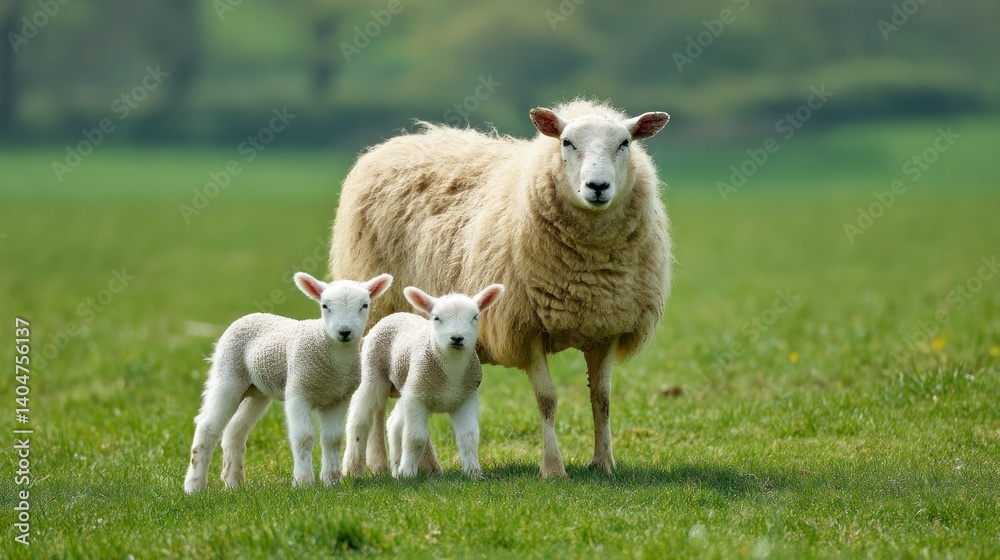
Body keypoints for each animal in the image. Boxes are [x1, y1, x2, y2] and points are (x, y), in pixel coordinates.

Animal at [183, 272, 393, 493]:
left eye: (365, 305)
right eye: (325, 306)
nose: (344, 332)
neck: (335, 364)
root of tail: (250, 315)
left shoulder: (338, 398)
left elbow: (332, 439)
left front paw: (331, 481)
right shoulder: (297, 391)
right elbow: (303, 437)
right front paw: (304, 482)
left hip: (257, 391)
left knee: (235, 430)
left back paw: (234, 483)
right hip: (228, 375)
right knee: (207, 427)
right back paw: (194, 485)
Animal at [343, 284, 505, 479]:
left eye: (475, 317)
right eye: (436, 318)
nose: (457, 338)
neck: (451, 373)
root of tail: (395, 315)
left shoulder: (466, 398)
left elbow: (469, 435)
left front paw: (473, 472)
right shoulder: (416, 398)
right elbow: (415, 437)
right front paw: (408, 473)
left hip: (406, 383)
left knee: (394, 423)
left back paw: (395, 469)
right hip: (373, 374)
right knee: (359, 420)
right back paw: (353, 470)